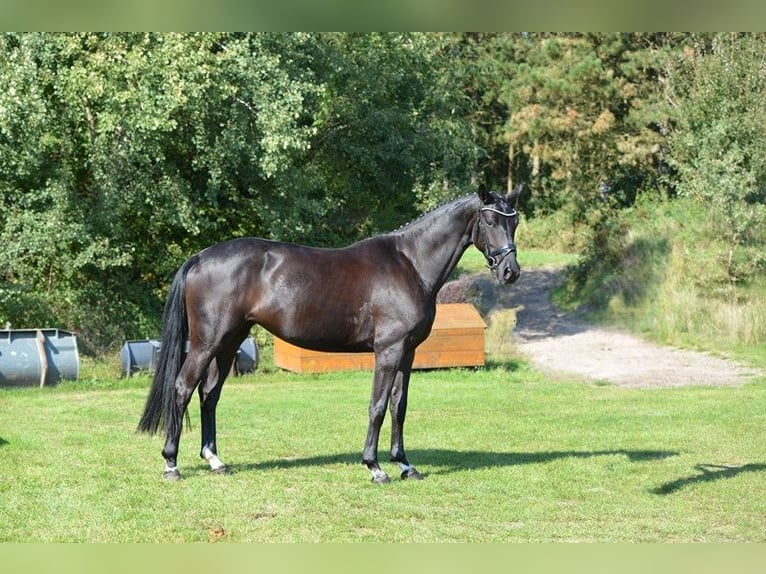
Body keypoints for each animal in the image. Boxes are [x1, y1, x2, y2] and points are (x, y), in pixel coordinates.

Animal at [138, 184, 520, 482]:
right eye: (489, 220)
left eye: (514, 221)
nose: (510, 271)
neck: (409, 264)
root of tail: (200, 257)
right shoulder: (389, 350)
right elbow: (377, 405)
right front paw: (375, 467)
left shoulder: (408, 352)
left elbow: (399, 405)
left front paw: (405, 465)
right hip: (207, 342)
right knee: (183, 388)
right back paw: (171, 464)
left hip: (229, 341)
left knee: (209, 394)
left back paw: (215, 460)